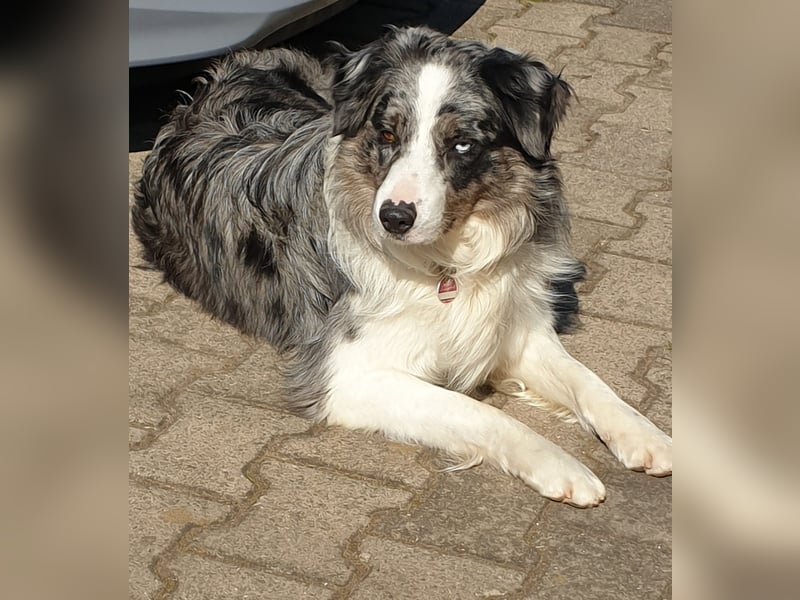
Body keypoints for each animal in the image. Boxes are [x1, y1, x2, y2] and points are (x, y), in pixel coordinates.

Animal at [132, 27, 671, 507]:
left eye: (461, 144)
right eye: (387, 133)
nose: (392, 217)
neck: (448, 264)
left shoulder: (515, 331)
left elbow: (590, 382)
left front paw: (647, 435)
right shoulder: (346, 375)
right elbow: (477, 412)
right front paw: (559, 465)